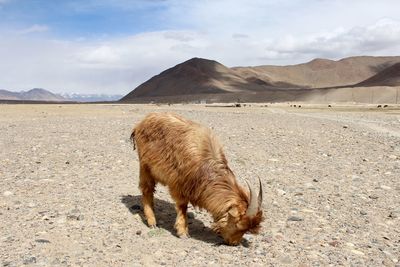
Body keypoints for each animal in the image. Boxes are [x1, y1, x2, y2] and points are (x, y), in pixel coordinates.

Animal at [130, 112, 264, 246]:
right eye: (239, 225)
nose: (234, 243)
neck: (206, 167)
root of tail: (140, 124)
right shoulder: (178, 183)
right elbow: (182, 206)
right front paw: (182, 232)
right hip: (145, 166)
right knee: (147, 189)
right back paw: (152, 221)